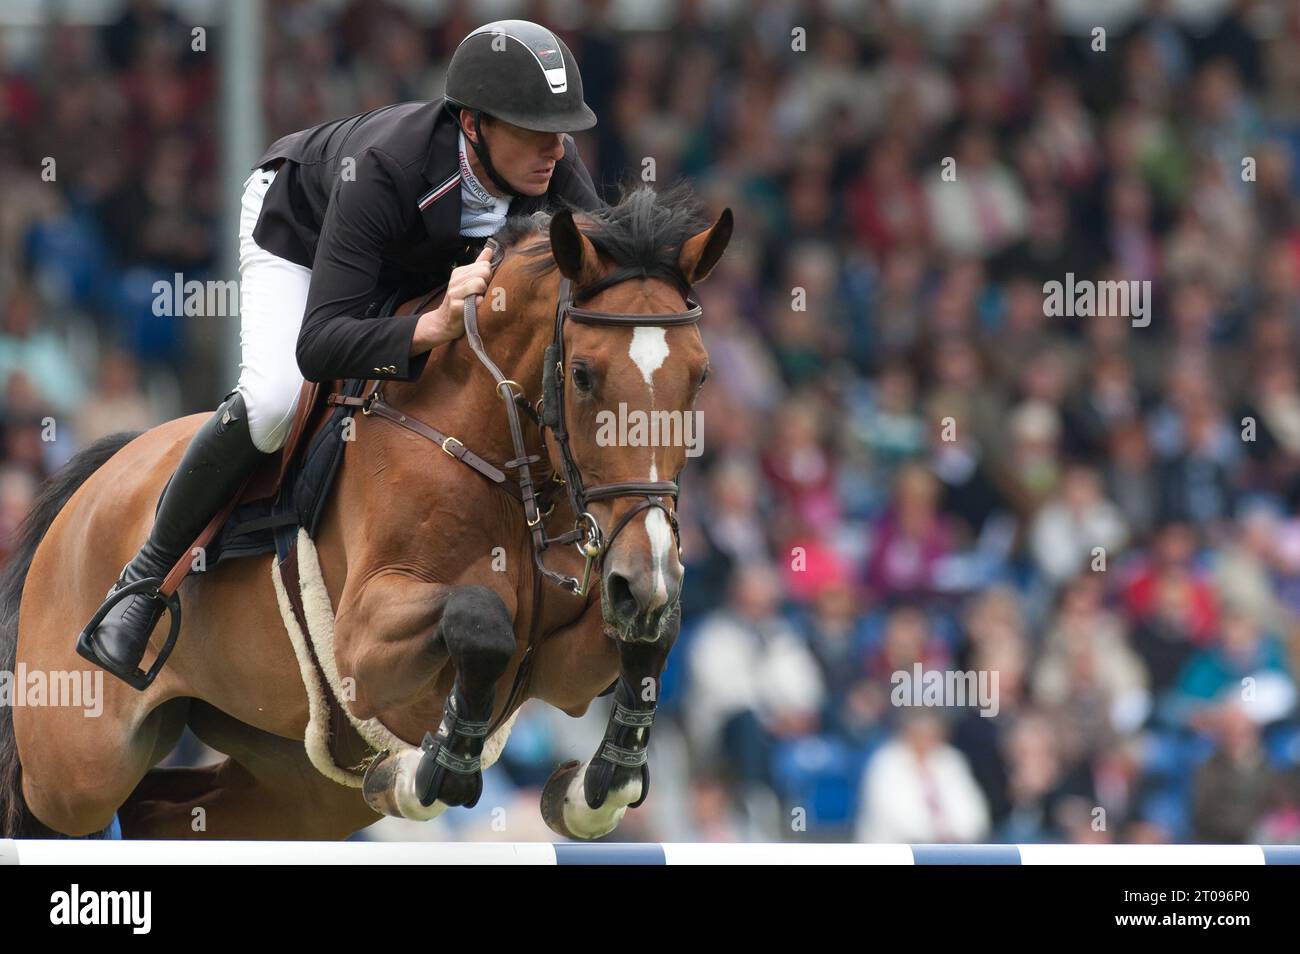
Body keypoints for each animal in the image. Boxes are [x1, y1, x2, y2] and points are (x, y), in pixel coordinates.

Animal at [0, 183, 733, 842]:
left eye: (699, 377)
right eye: (581, 375)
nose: (642, 576)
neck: (494, 450)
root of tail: (92, 488)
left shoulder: (565, 665)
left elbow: (652, 635)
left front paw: (597, 785)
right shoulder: (363, 645)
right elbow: (479, 619)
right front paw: (431, 773)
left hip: (299, 789)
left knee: (163, 810)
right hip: (76, 771)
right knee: (55, 809)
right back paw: (126, 618)